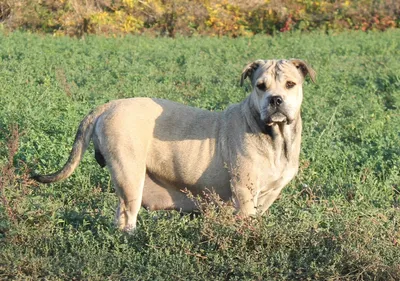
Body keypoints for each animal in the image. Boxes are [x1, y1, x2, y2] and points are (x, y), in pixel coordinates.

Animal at [32, 58, 316, 230]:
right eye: (260, 86)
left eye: (290, 84)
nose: (275, 99)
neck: (276, 138)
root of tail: (109, 105)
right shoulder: (245, 194)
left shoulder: (268, 195)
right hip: (130, 176)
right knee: (127, 216)